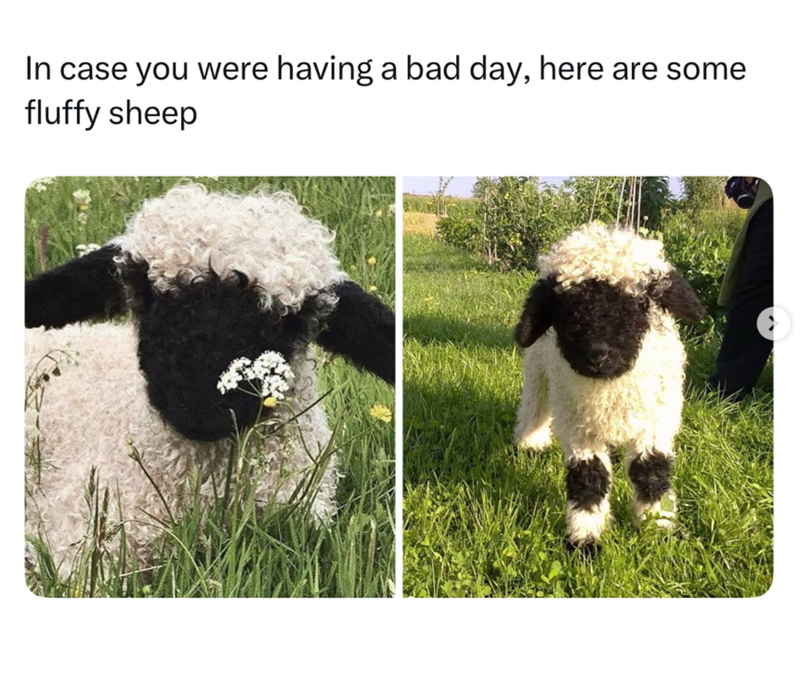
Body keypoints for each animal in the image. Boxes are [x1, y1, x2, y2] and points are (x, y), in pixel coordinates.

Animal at [513, 223, 705, 550]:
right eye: (565, 309)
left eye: (639, 303)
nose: (597, 355)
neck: (611, 388)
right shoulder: (580, 429)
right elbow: (588, 478)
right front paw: (584, 538)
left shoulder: (655, 422)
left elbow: (649, 470)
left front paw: (656, 526)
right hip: (538, 370)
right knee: (534, 404)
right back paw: (531, 443)